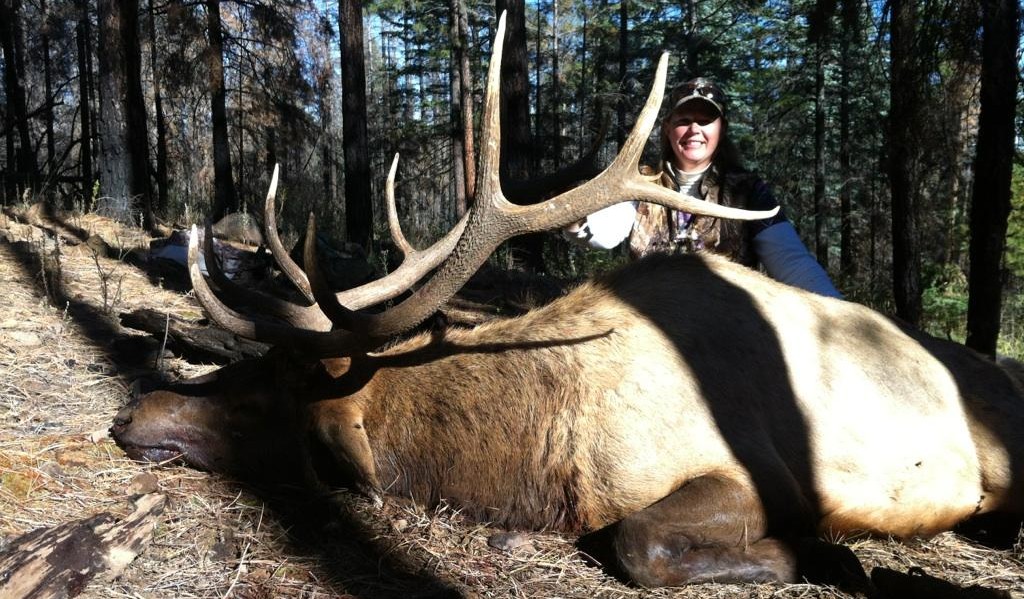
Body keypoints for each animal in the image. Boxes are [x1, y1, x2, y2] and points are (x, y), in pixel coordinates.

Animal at [110, 13, 1024, 591]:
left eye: (267, 397)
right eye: (248, 365)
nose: (129, 413)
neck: (540, 445)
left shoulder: (757, 472)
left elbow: (637, 539)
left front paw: (828, 558)